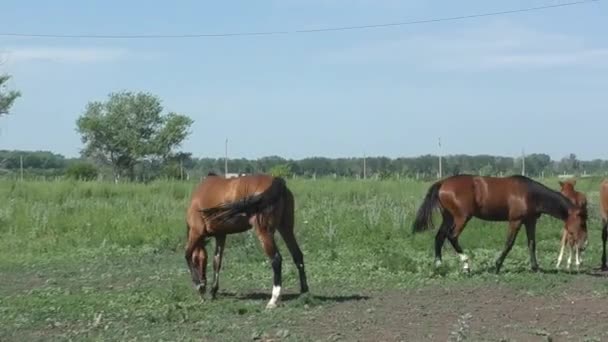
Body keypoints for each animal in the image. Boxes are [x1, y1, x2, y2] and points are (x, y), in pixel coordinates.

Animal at [184, 172, 308, 308]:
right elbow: (217, 262)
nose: (203, 285)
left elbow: (187, 254)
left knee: (276, 259)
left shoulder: (196, 232)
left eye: (197, 261)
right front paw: (213, 291)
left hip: (264, 232)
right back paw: (304, 292)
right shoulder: (221, 236)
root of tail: (278, 182)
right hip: (286, 228)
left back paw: (273, 299)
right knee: (297, 255)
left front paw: (198, 285)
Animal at [410, 175, 588, 274]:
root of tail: (442, 183)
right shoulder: (515, 221)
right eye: (582, 222)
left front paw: (535, 267)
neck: (529, 194)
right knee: (452, 236)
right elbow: (509, 244)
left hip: (448, 217)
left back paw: (439, 265)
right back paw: (466, 265)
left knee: (439, 237)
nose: (584, 244)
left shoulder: (530, 221)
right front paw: (496, 266)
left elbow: (532, 243)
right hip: (461, 218)